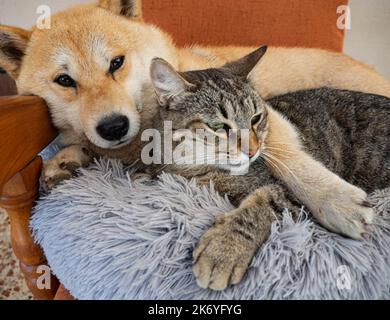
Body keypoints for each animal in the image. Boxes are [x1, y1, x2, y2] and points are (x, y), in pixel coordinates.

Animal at [0, 0, 386, 240]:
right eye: (64, 80)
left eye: (116, 63)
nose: (113, 126)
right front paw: (66, 159)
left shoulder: (269, 123)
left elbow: (290, 162)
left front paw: (336, 200)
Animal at [147, 47, 390, 290]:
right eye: (218, 126)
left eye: (256, 118)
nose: (253, 150)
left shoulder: (287, 192)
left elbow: (261, 205)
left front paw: (223, 250)